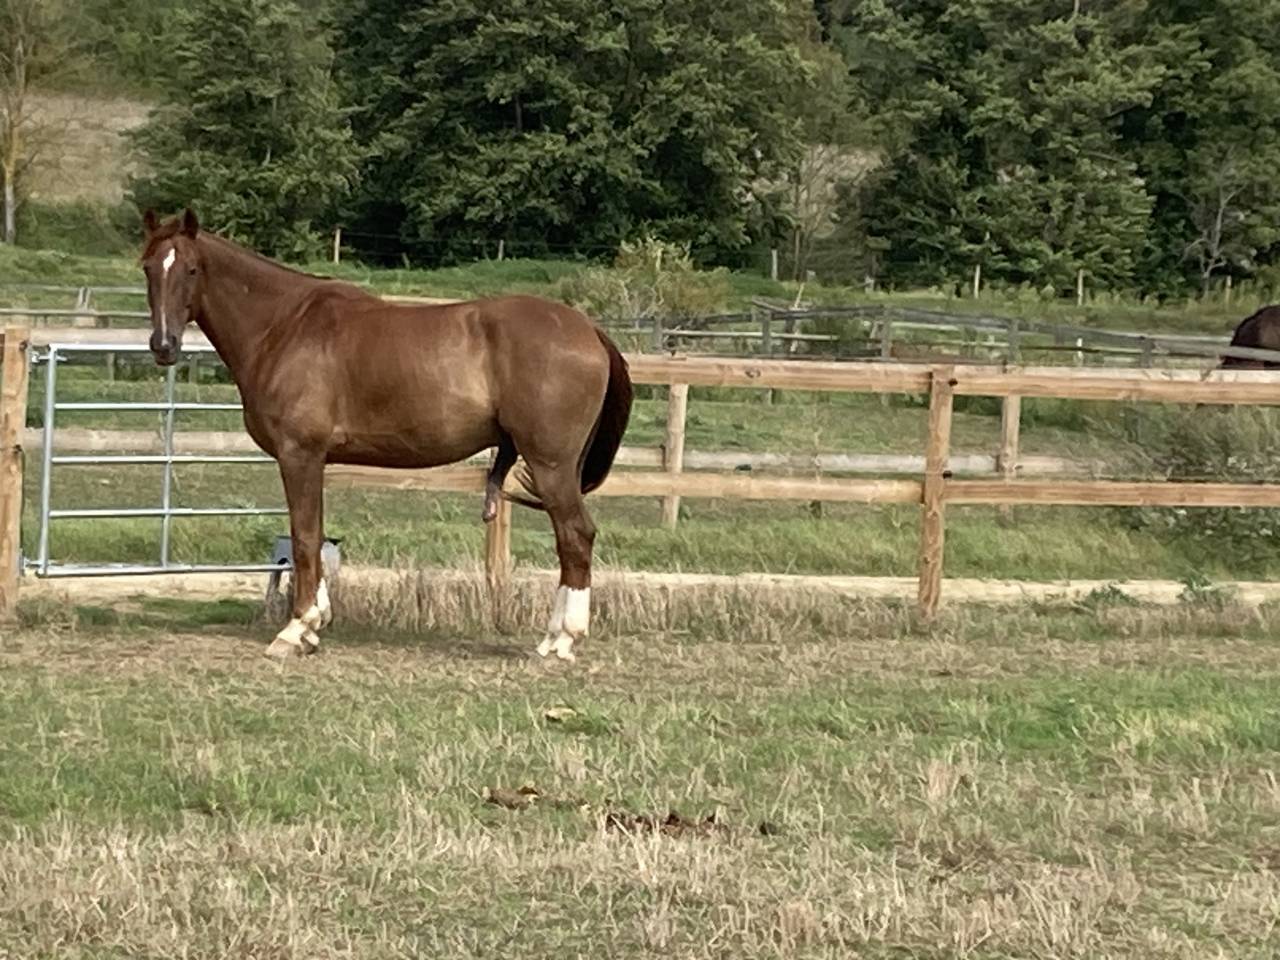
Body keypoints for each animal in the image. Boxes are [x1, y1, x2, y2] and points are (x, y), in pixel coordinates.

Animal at [138, 208, 633, 662]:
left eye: (191, 269)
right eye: (148, 267)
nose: (163, 346)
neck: (283, 325)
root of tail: (589, 330)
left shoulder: (299, 454)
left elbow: (303, 537)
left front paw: (296, 630)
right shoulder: (313, 460)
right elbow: (314, 533)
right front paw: (315, 623)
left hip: (551, 464)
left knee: (575, 536)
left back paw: (561, 640)